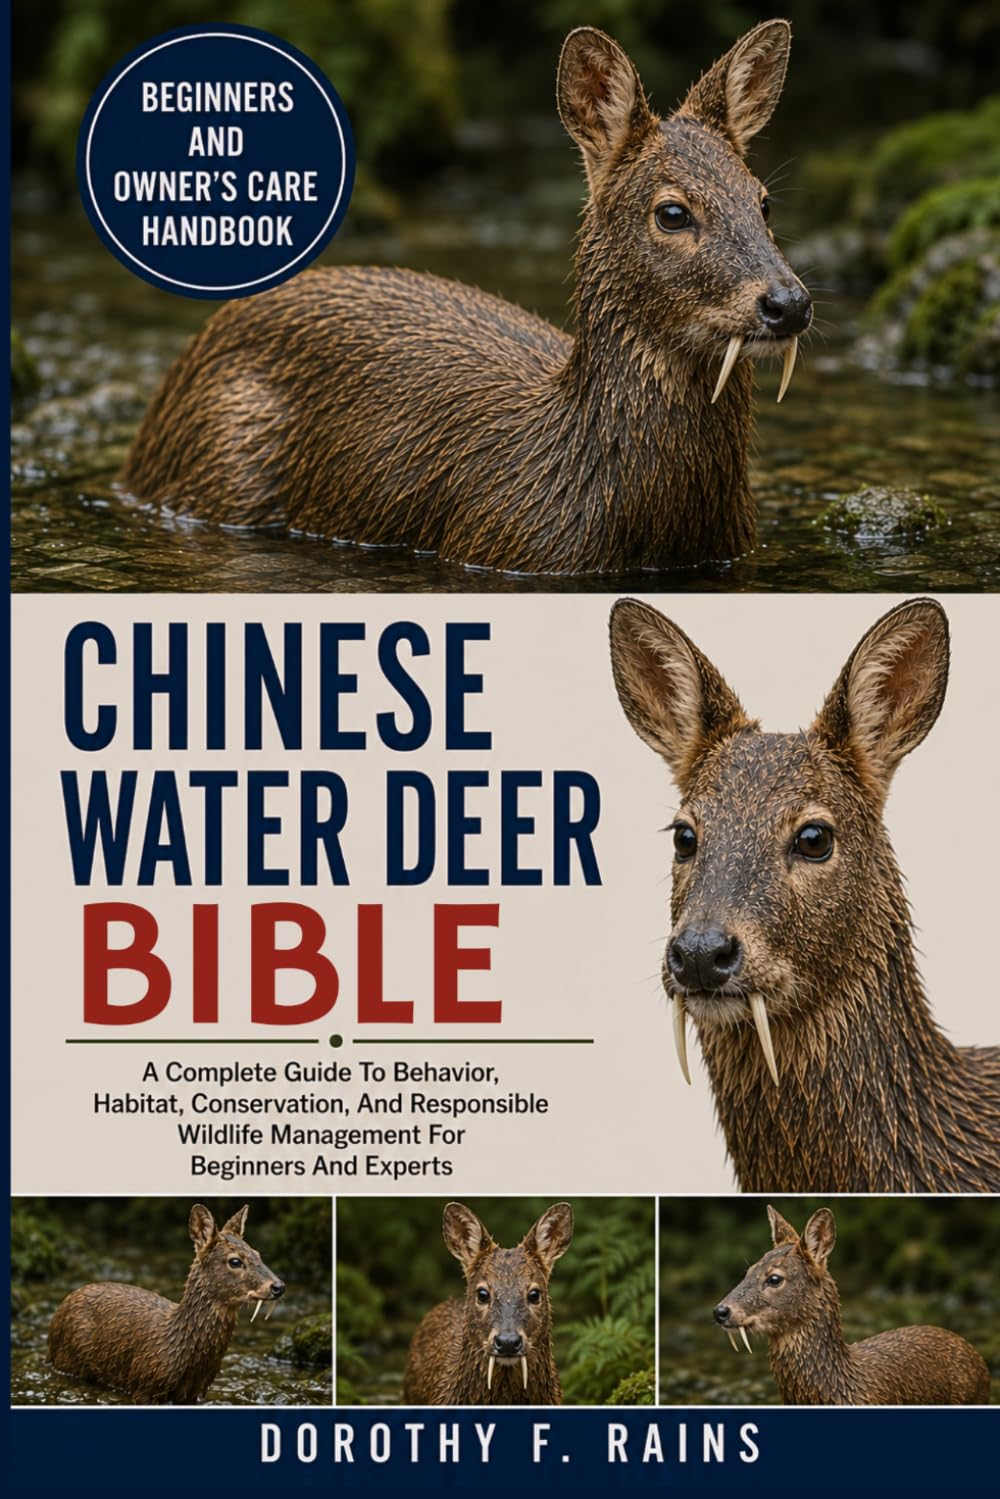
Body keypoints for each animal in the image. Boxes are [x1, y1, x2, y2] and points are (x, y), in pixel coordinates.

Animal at [47, 1204, 285, 1403]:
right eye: (235, 1261)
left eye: (258, 1254)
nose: (278, 1286)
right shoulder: (144, 1384)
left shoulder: (196, 1391)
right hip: (67, 1359)